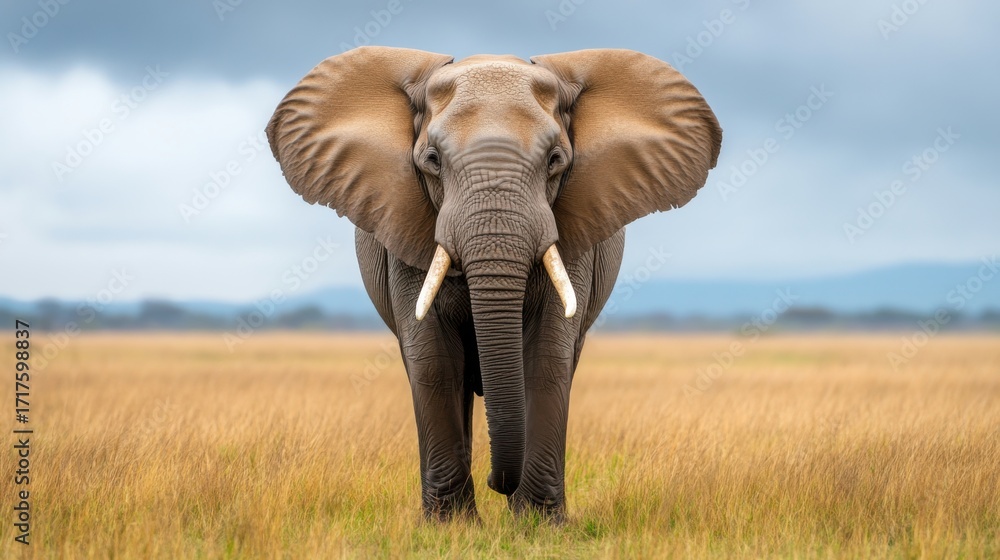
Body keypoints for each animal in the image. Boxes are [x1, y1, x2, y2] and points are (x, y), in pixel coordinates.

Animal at [266, 46, 721, 521]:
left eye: (555, 160)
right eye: (432, 160)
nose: (496, 481)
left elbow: (548, 355)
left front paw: (537, 523)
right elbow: (432, 359)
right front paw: (450, 527)